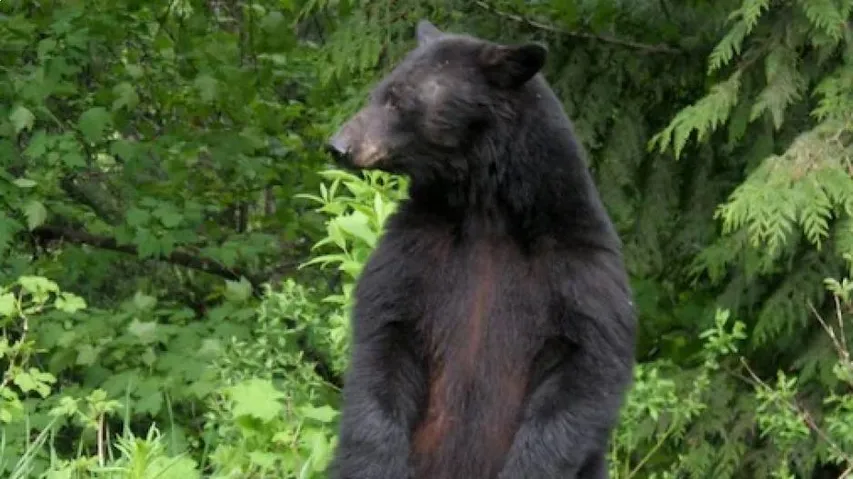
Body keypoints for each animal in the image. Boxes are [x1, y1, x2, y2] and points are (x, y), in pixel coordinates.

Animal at [323, 19, 637, 479]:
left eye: (398, 99)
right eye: (377, 92)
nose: (338, 144)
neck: (487, 213)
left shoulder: (579, 266)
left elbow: (583, 369)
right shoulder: (414, 249)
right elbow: (384, 341)